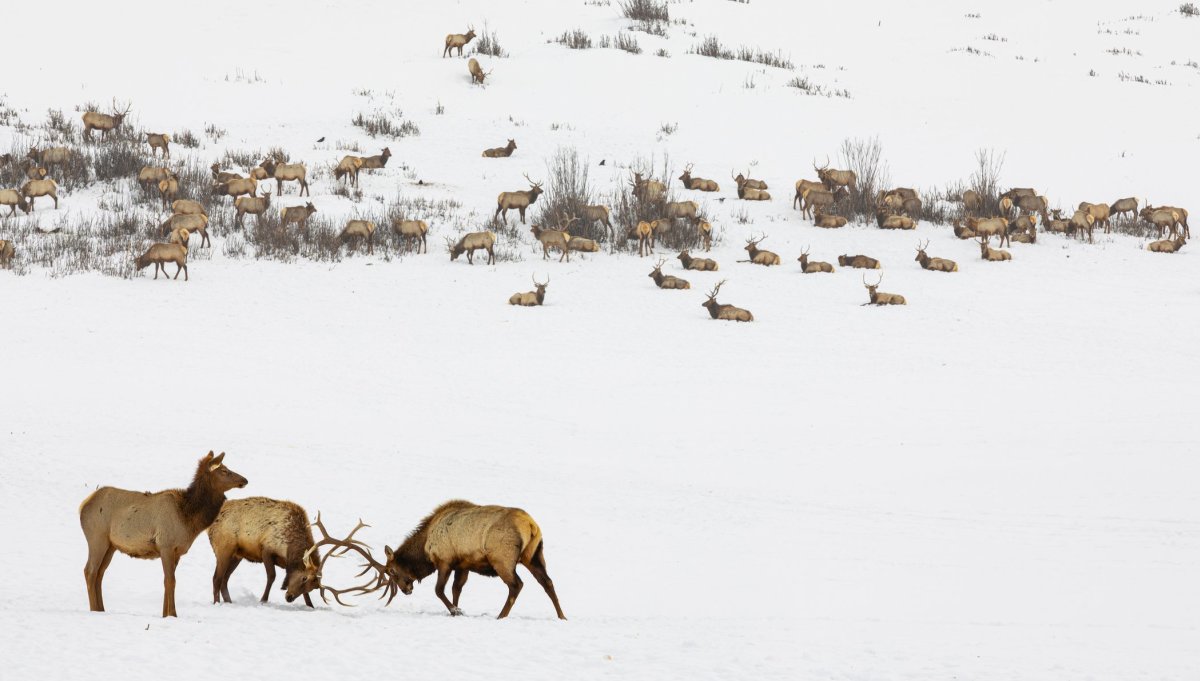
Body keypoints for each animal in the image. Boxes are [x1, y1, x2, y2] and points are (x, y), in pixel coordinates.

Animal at [79, 451, 248, 616]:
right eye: (224, 470)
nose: (245, 480)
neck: (188, 519)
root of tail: (82, 506)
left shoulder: (176, 552)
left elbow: (168, 581)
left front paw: (164, 614)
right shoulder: (166, 545)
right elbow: (170, 581)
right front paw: (173, 614)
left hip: (111, 546)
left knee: (100, 573)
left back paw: (101, 609)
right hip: (97, 538)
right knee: (90, 571)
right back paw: (94, 610)